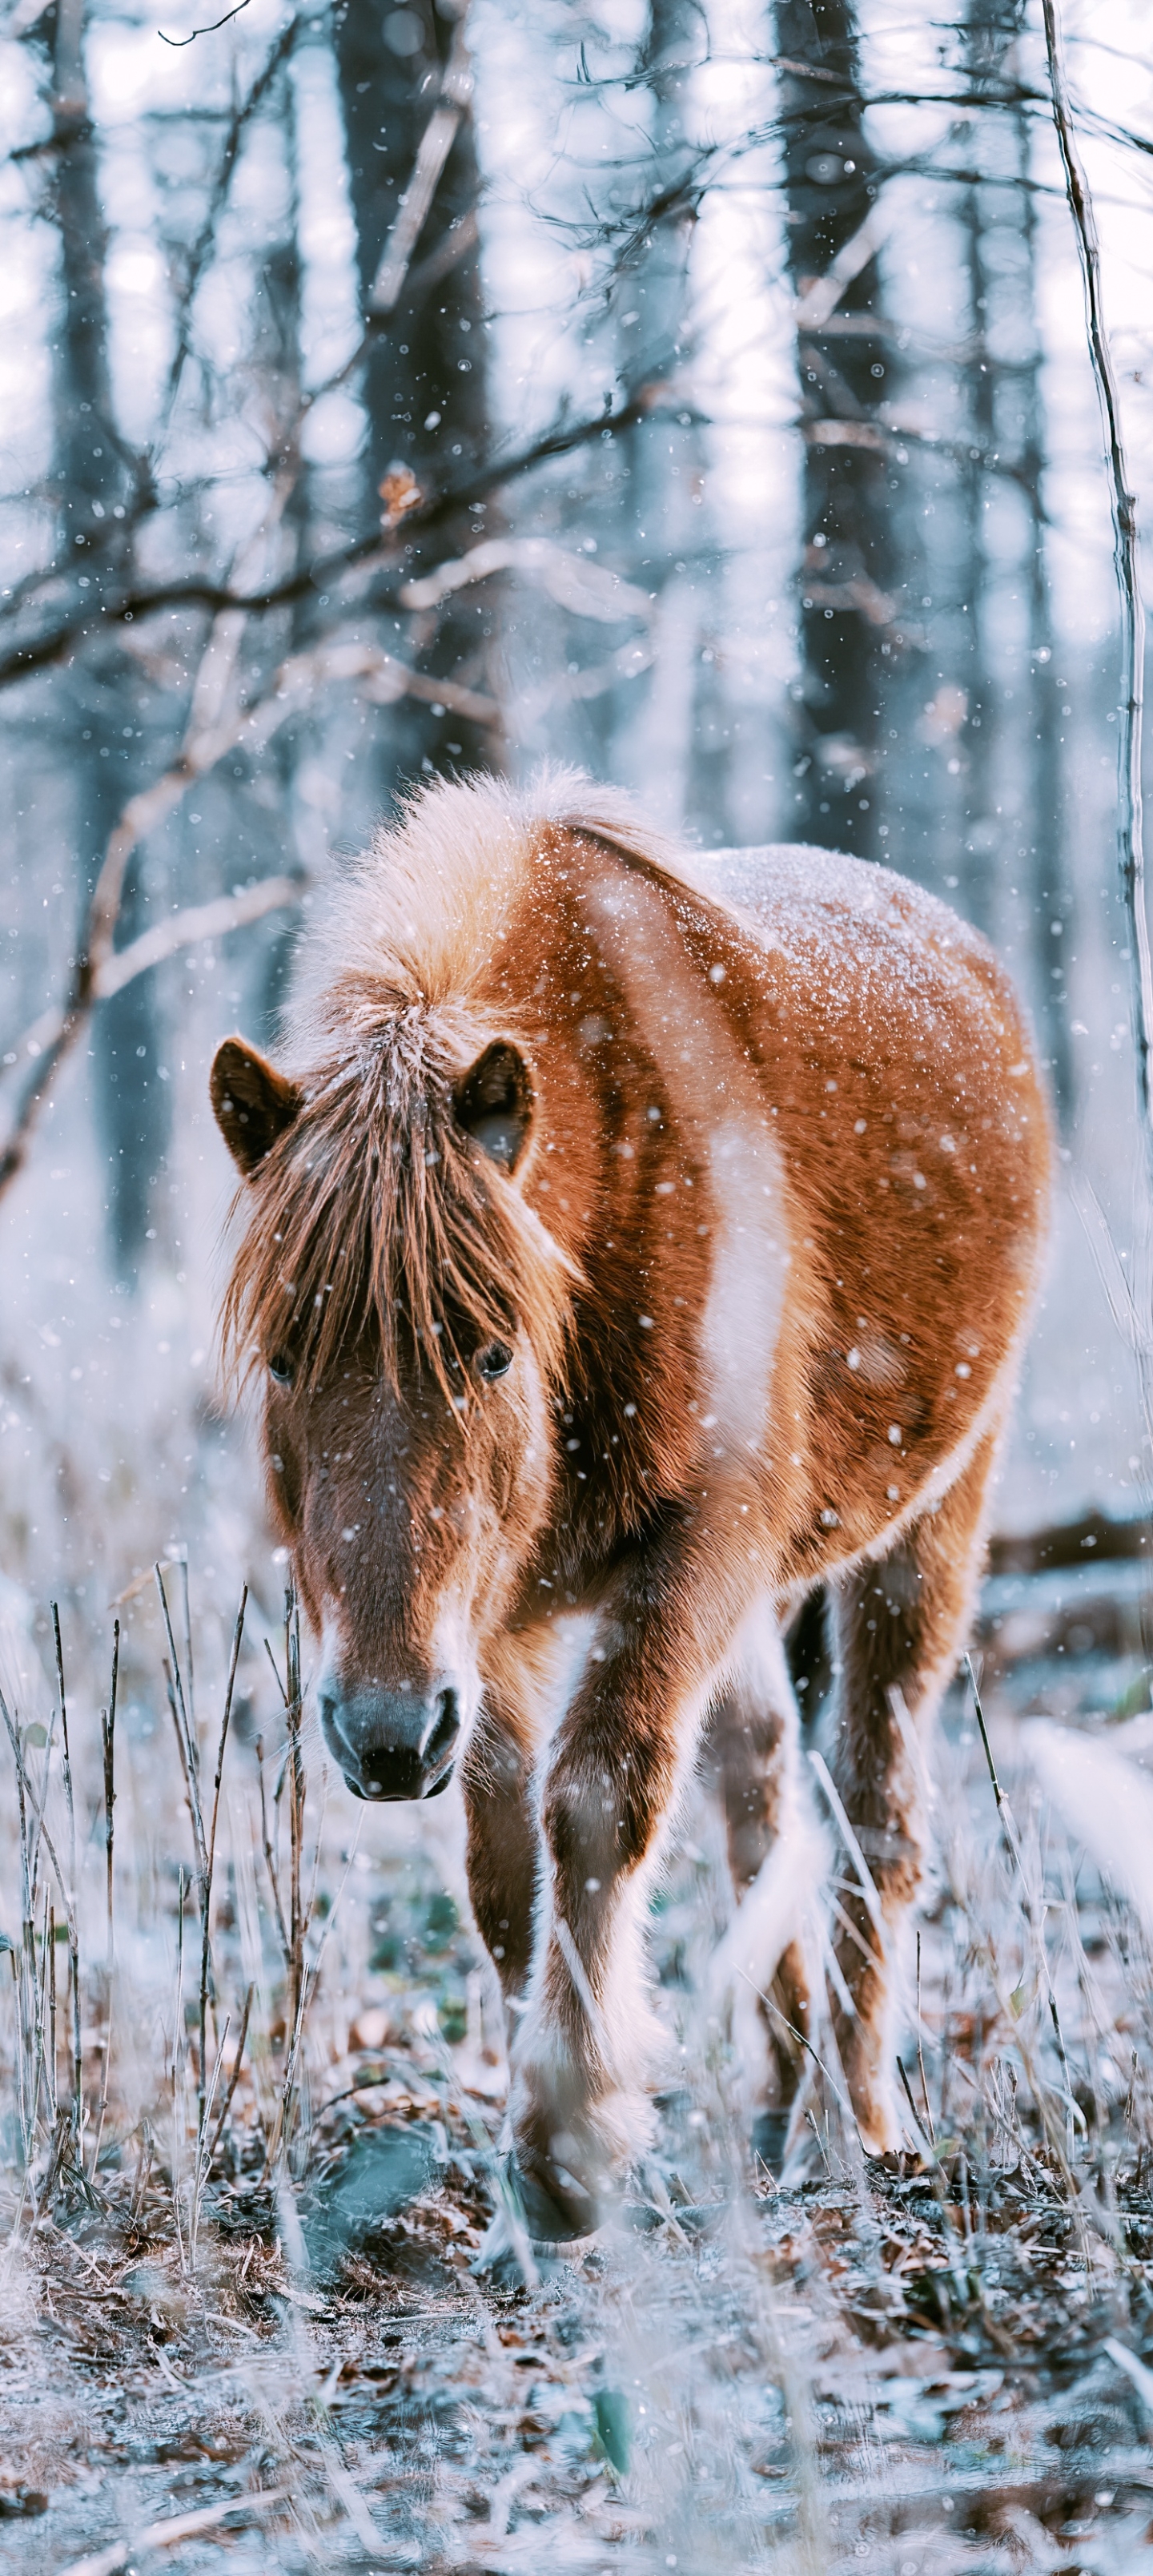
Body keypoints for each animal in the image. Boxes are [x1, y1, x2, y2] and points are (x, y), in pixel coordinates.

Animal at [211, 772, 1050, 2246]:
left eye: (490, 1354)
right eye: (286, 1357)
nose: (380, 1737)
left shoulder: (699, 1541)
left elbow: (599, 1795)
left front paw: (566, 2145)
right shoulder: (486, 1626)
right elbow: (505, 1864)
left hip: (933, 1519)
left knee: (873, 1809)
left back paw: (848, 2126)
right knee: (763, 1777)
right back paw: (778, 2081)